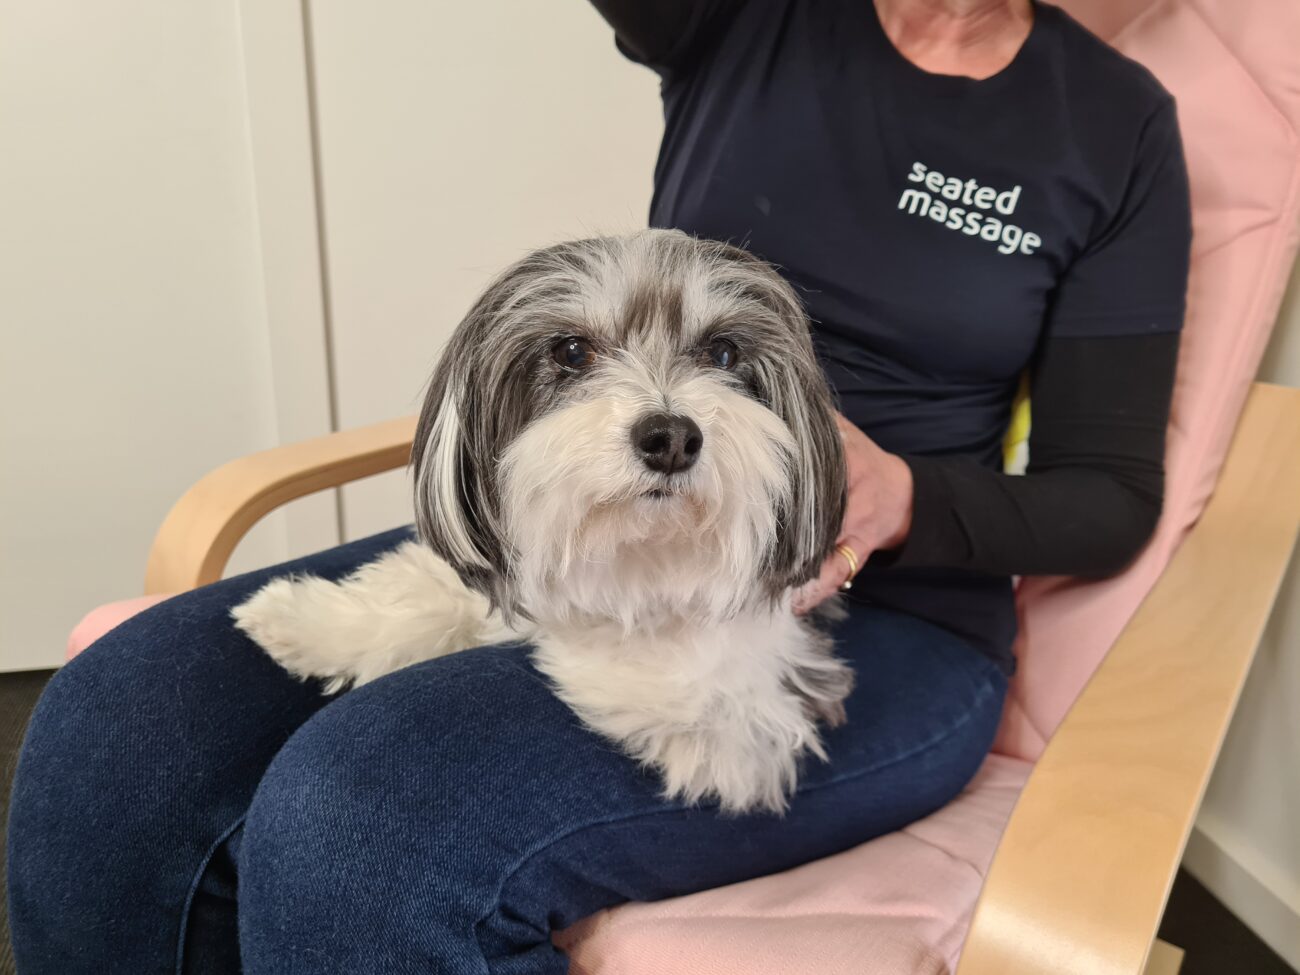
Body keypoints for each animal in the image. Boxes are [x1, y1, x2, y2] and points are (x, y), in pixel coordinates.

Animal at [236, 231, 852, 816]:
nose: (672, 437)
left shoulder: (744, 718)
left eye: (722, 353)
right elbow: (428, 590)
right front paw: (301, 620)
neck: (636, 554)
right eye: (572, 351)